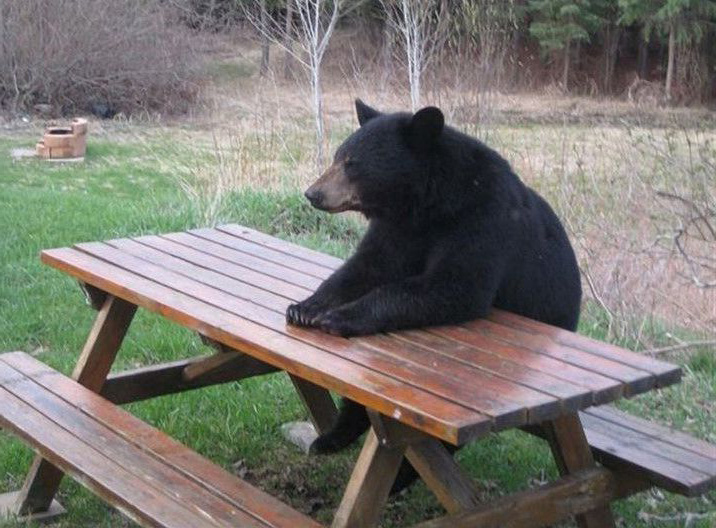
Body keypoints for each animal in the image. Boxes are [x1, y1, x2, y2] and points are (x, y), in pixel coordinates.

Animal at [285, 100, 582, 487]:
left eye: (352, 163)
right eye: (338, 156)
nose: (313, 193)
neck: (427, 203)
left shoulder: (483, 219)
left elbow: (453, 285)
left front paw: (338, 317)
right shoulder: (399, 228)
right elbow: (366, 266)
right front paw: (305, 307)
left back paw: (400, 477)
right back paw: (332, 437)